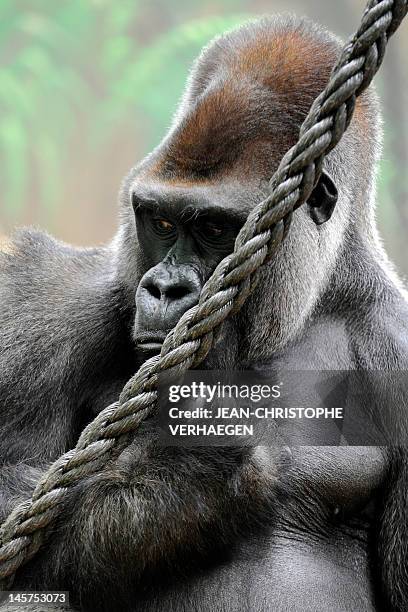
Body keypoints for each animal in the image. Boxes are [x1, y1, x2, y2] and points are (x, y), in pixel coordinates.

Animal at [0, 13, 408, 612]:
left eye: (215, 229)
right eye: (162, 222)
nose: (164, 289)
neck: (306, 309)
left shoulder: (395, 340)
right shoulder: (49, 306)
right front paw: (187, 474)